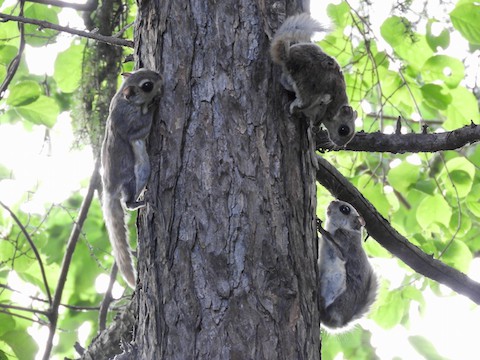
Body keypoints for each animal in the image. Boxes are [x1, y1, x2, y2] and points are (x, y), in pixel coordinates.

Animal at [100, 69, 162, 288]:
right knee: (127, 202)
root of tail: (108, 191)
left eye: (140, 70)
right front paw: (154, 104)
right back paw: (140, 201)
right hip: (133, 177)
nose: (161, 76)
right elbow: (142, 127)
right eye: (147, 85)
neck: (122, 100)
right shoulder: (129, 123)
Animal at [270, 14, 356, 146]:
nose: (340, 145)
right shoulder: (326, 108)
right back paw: (294, 107)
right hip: (308, 86)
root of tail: (289, 58)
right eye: (343, 130)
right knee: (304, 101)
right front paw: (315, 127)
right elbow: (318, 118)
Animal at [318, 200, 378, 330]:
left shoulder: (345, 243)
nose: (332, 201)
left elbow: (339, 251)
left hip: (337, 282)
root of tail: (339, 322)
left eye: (345, 209)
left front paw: (320, 229)